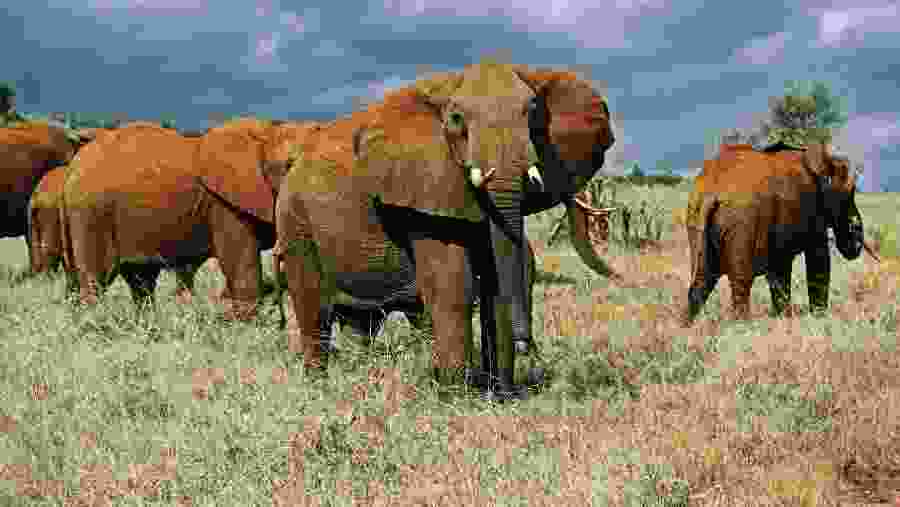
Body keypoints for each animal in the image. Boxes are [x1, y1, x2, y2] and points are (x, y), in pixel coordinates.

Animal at [61, 119, 316, 316]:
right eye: (288, 166)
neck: (268, 132)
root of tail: (70, 170)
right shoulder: (224, 206)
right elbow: (241, 266)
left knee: (141, 281)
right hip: (91, 213)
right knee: (97, 280)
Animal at [274, 59, 618, 398]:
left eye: (533, 112)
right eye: (456, 119)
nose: (527, 346)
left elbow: (496, 281)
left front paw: (498, 396)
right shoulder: (425, 192)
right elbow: (452, 283)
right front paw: (459, 395)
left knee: (359, 321)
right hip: (294, 222)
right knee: (314, 308)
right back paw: (319, 387)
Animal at [681, 142, 868, 325]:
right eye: (850, 192)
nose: (855, 237)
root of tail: (711, 192)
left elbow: (780, 272)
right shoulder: (811, 211)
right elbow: (816, 260)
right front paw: (817, 318)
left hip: (696, 219)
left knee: (701, 281)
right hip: (741, 223)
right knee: (740, 283)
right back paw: (743, 326)